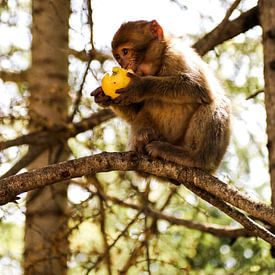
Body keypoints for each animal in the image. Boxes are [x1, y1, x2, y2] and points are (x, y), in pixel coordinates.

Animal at [91, 20, 232, 175]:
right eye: (118, 57)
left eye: (125, 52)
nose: (124, 65)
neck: (158, 67)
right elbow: (135, 113)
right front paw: (103, 97)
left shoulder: (176, 54)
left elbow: (199, 88)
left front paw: (141, 86)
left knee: (215, 103)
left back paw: (195, 157)